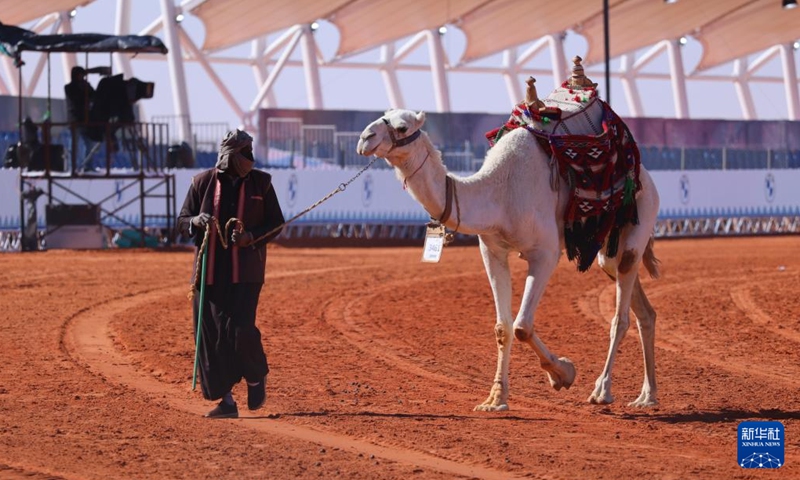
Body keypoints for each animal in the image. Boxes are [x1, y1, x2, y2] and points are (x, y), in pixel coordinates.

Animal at [360, 103, 660, 410]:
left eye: (402, 127)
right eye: (384, 115)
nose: (365, 139)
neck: (498, 193)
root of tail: (645, 176)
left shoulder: (545, 253)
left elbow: (522, 326)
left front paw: (564, 373)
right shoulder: (492, 251)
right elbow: (503, 328)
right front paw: (495, 399)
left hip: (640, 219)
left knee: (620, 315)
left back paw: (603, 391)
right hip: (606, 250)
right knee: (642, 310)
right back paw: (646, 397)